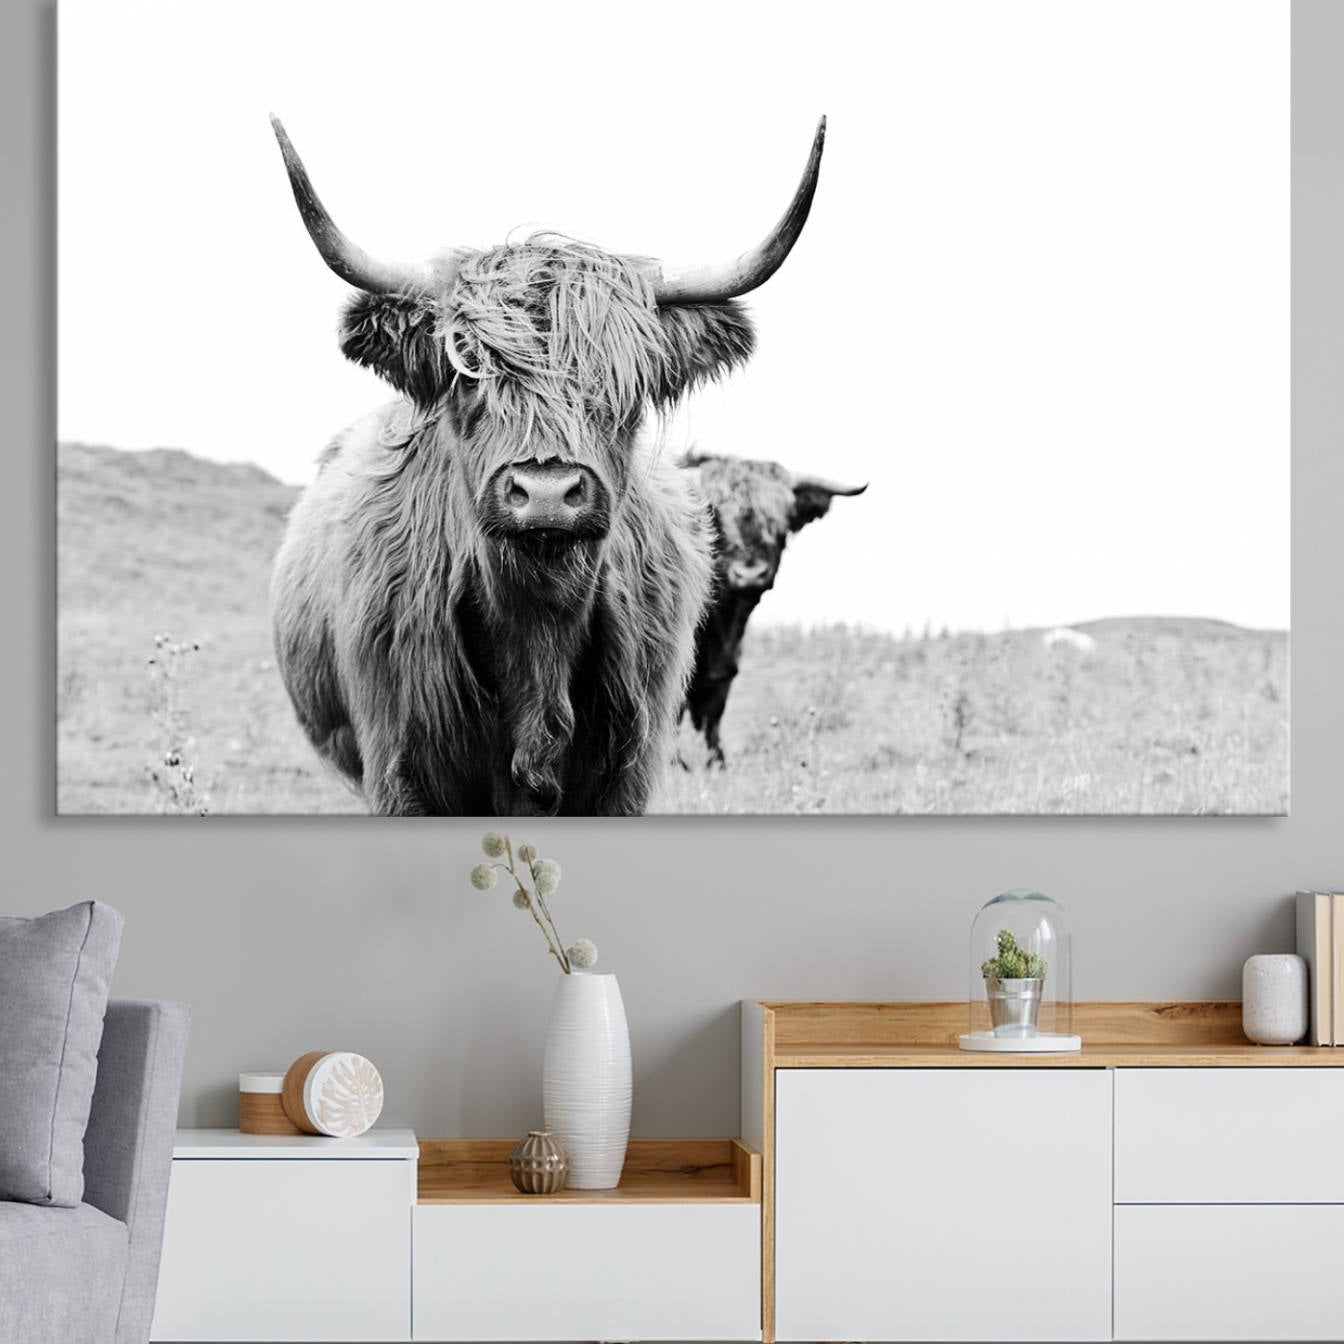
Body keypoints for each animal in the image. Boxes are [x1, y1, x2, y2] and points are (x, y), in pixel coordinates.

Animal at [267, 116, 826, 815]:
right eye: (467, 371)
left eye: (625, 383)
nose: (547, 493)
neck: (537, 631)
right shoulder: (400, 770)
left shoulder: (627, 774)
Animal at [680, 450, 866, 767]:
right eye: (716, 518)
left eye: (780, 521)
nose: (750, 574)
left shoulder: (722, 670)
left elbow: (711, 715)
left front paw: (716, 762)